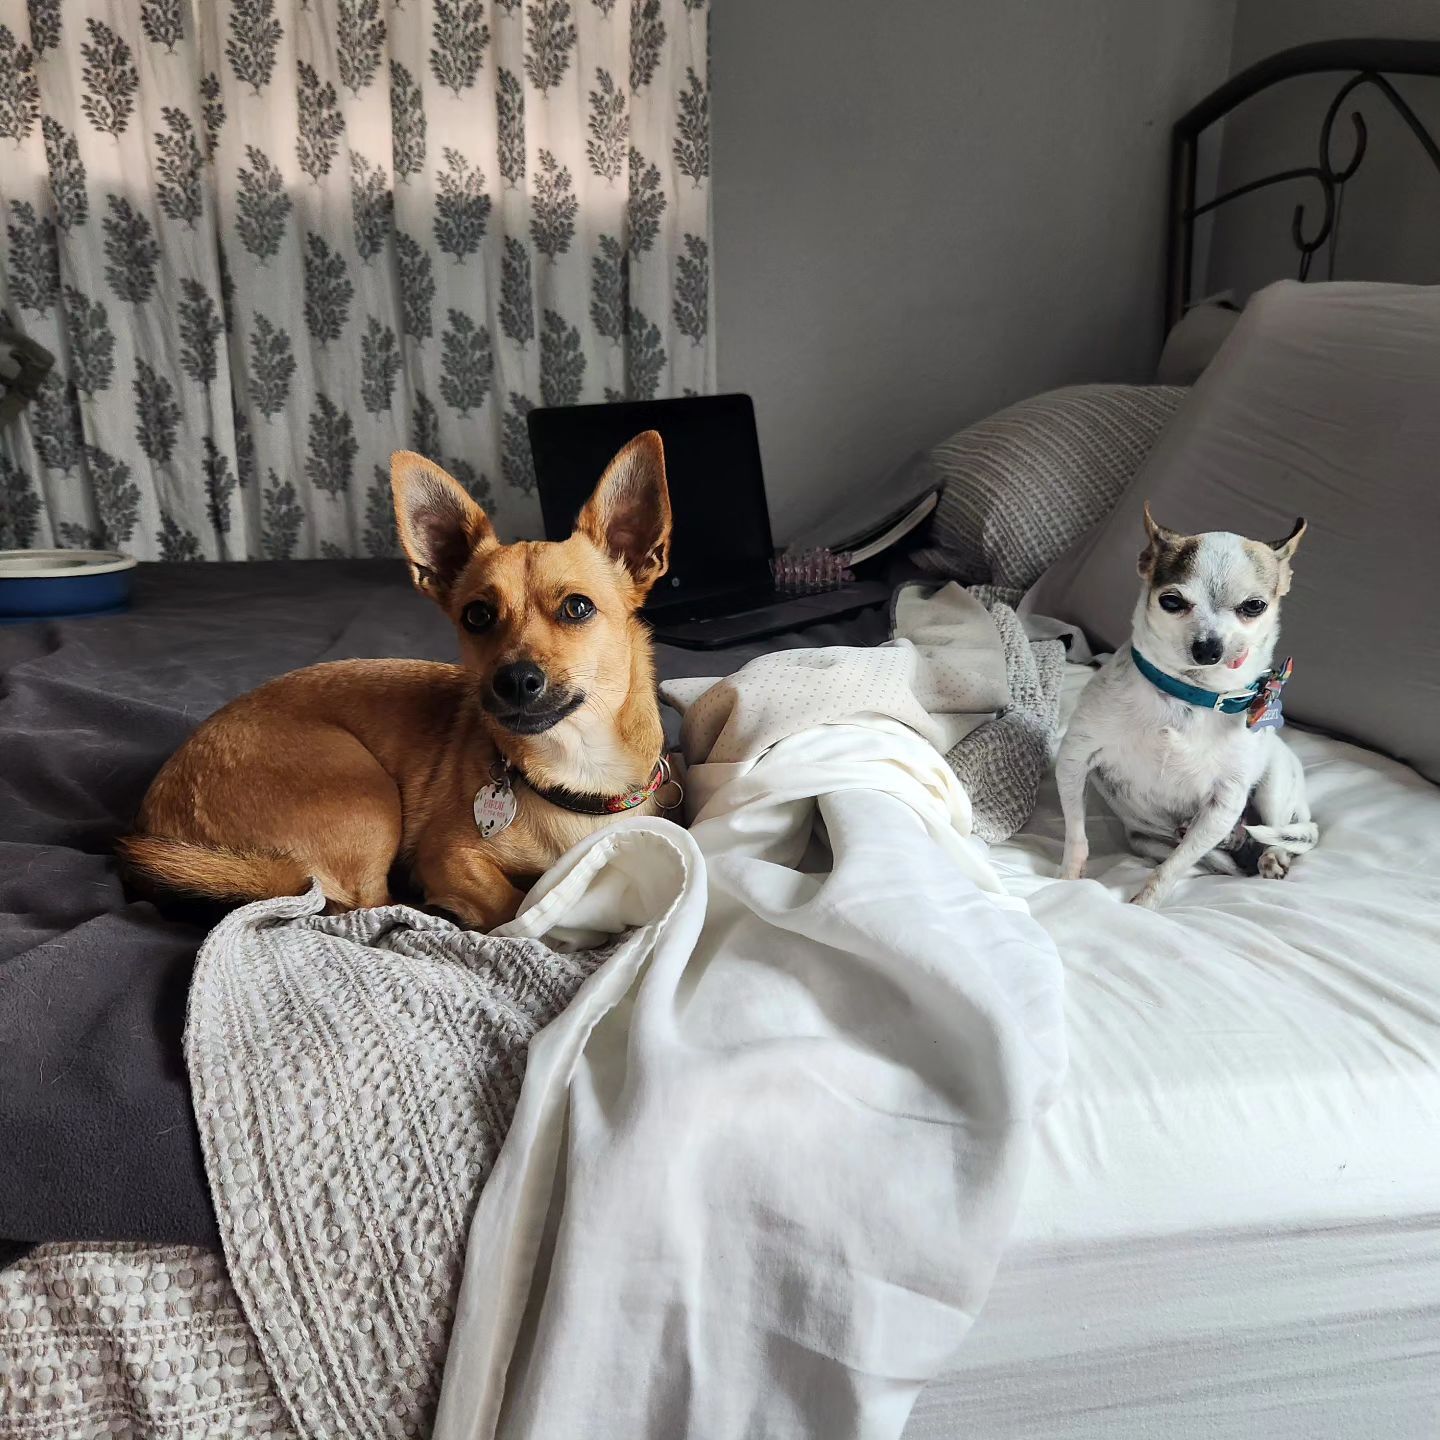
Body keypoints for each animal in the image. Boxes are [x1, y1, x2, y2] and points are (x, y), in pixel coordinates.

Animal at [119, 426, 673, 927]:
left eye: (578, 607)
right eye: (477, 616)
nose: (514, 680)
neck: (575, 769)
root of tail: (163, 819)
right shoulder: (449, 855)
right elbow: (517, 905)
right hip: (367, 795)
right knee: (363, 907)